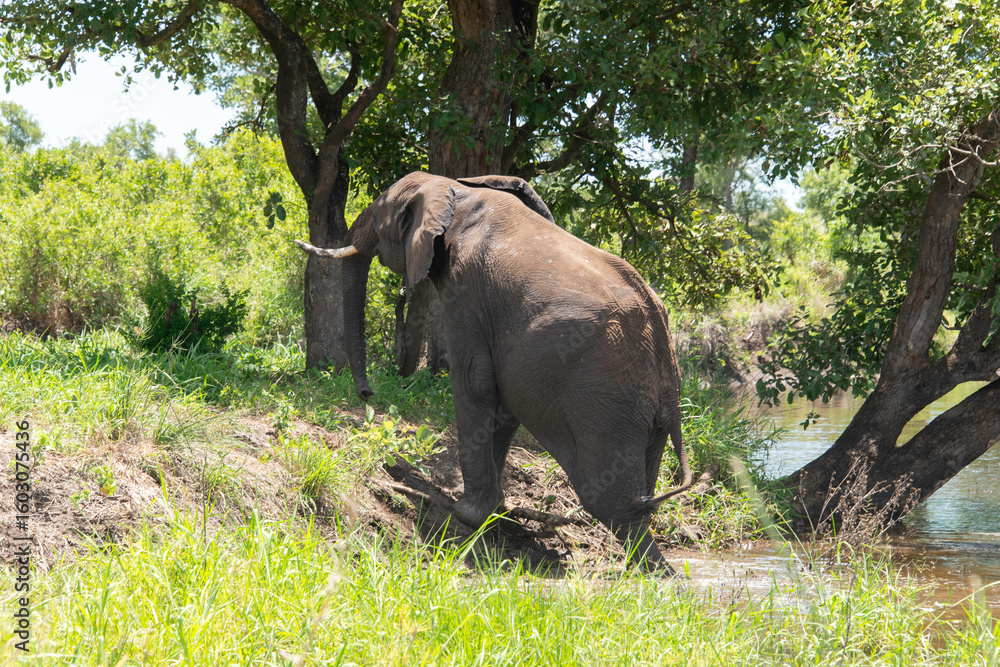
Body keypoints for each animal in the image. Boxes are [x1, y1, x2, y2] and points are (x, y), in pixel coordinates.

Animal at [296, 171, 692, 571]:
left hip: (607, 399)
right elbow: (503, 401)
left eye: (377, 216)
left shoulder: (466, 290)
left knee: (614, 505)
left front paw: (464, 513)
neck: (455, 190)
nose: (367, 394)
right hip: (645, 404)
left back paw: (654, 574)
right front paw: (492, 513)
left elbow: (476, 382)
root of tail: (662, 335)